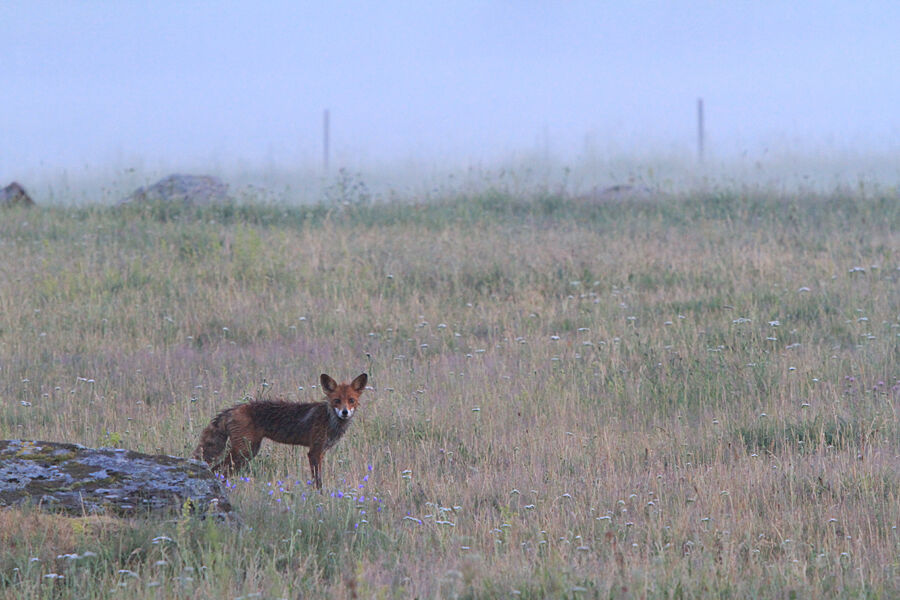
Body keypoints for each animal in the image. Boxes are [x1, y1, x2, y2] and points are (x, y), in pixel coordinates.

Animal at [192, 373, 367, 489]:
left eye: (351, 400)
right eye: (337, 400)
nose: (344, 412)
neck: (329, 419)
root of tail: (234, 408)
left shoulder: (321, 452)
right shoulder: (314, 452)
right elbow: (317, 481)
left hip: (248, 451)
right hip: (243, 452)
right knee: (216, 469)